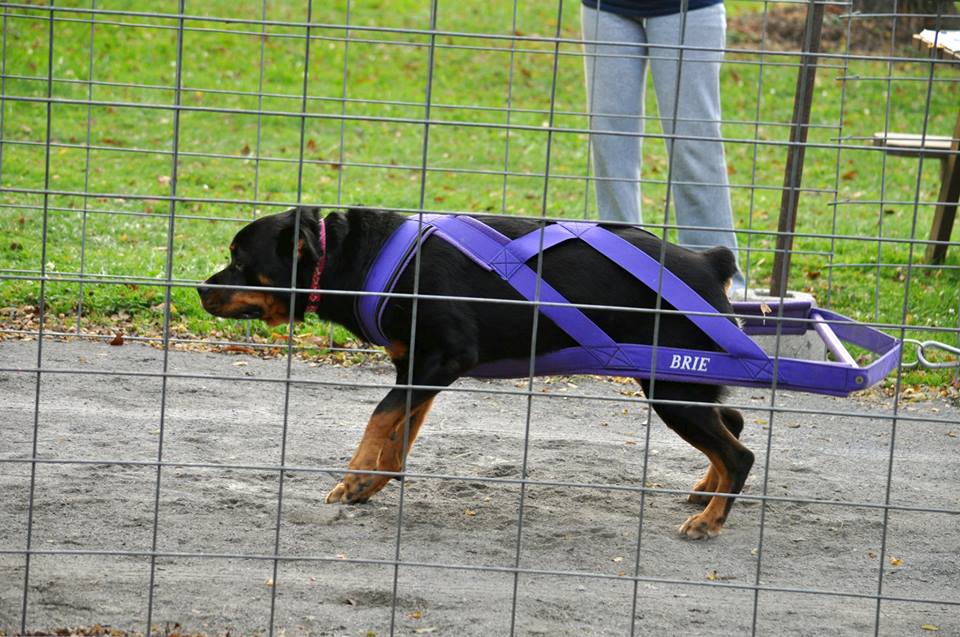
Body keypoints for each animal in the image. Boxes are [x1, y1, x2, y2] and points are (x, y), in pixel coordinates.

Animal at [199, 205, 752, 536]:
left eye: (239, 260)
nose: (201, 288)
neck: (361, 259)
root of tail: (709, 263)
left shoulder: (445, 358)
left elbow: (380, 416)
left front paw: (355, 477)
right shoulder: (415, 364)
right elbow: (400, 430)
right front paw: (371, 482)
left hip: (672, 385)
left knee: (739, 453)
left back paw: (710, 520)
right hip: (685, 382)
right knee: (733, 422)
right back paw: (708, 489)